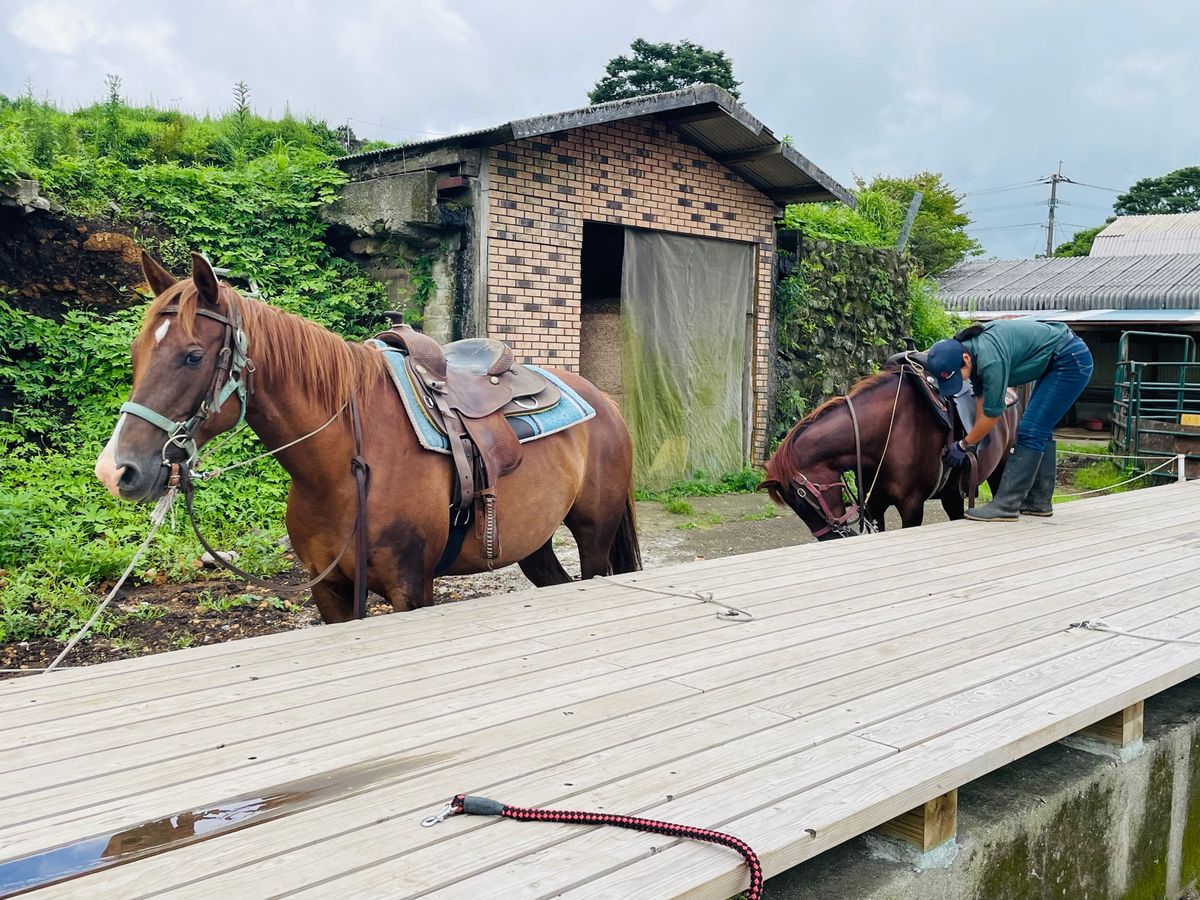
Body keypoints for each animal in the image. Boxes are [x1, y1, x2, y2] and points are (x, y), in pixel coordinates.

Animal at [95, 251, 641, 623]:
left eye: (192, 356)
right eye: (136, 351)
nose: (116, 469)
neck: (342, 466)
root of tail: (603, 400)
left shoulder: (410, 589)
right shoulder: (331, 591)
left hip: (594, 538)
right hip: (535, 543)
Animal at [761, 361, 1020, 540]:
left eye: (803, 501)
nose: (831, 538)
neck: (890, 430)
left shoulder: (912, 506)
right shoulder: (874, 506)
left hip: (1000, 469)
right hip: (952, 493)